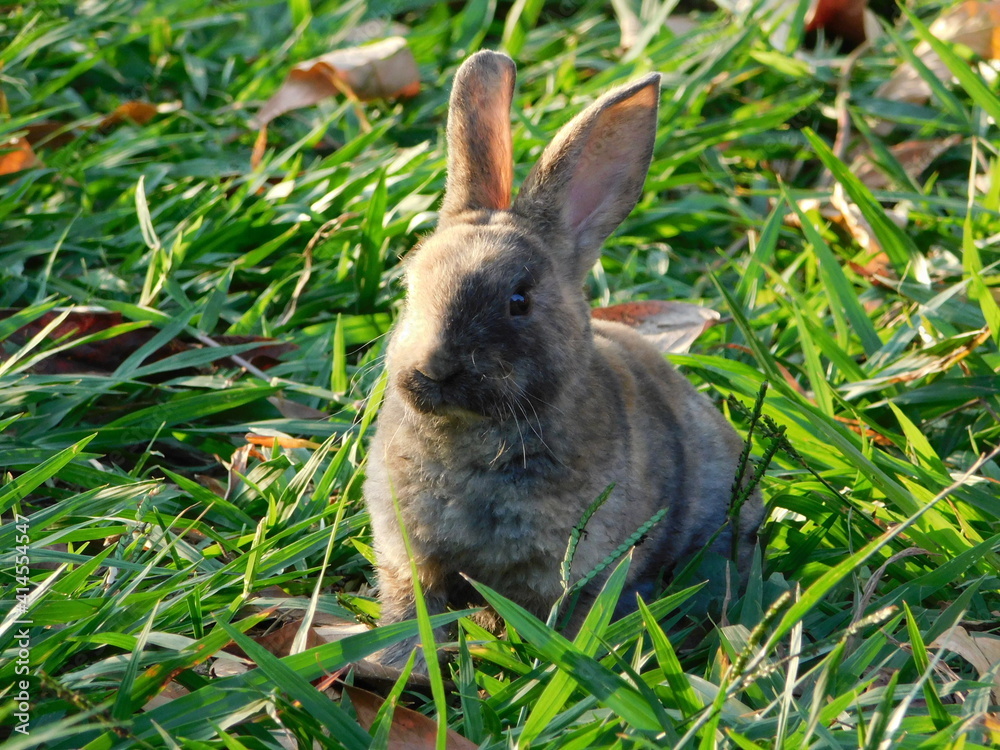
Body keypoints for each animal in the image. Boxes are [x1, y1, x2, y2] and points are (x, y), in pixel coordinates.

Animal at [363, 50, 764, 668]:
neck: (473, 435)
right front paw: (394, 664)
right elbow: (412, 611)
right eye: (410, 285)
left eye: (518, 301)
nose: (432, 369)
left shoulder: (584, 570)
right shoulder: (411, 558)